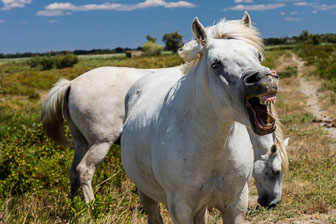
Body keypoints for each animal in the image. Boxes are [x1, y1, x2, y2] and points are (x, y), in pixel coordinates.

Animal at [121, 13, 280, 222]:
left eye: (258, 56)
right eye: (215, 64)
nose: (263, 78)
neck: (212, 148)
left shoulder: (236, 204)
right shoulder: (180, 207)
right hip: (145, 192)